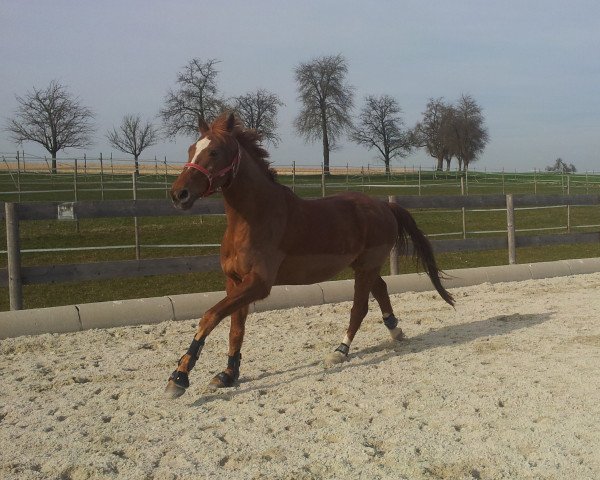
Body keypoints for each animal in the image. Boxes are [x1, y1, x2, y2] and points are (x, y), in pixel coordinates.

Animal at [165, 112, 454, 398]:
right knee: (381, 289)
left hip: (366, 267)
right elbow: (236, 328)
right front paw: (227, 375)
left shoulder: (258, 284)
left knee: (359, 307)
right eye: (191, 149)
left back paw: (340, 351)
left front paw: (179, 378)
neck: (253, 219)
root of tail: (384, 206)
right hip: (363, 266)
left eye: (214, 151)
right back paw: (395, 330)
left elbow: (210, 316)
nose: (179, 194)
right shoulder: (234, 281)